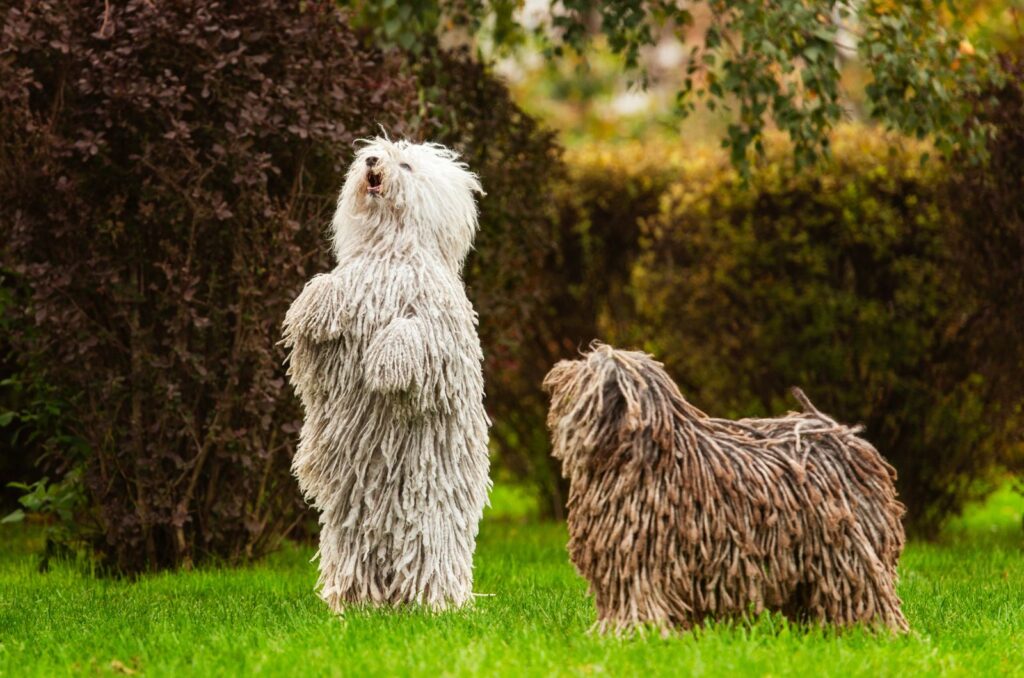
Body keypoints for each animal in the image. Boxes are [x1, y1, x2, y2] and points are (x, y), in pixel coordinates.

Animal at [280, 138, 487, 614]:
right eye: (372, 154)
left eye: (405, 164)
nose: (373, 162)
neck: (390, 253)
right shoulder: (333, 346)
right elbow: (324, 311)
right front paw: (315, 302)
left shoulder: (441, 329)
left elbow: (414, 334)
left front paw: (385, 362)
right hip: (351, 517)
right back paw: (355, 603)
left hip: (430, 514)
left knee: (429, 556)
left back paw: (431, 603)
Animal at [540, 346, 909, 639]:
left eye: (593, 371)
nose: (561, 371)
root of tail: (844, 438)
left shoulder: (642, 556)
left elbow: (639, 596)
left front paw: (635, 636)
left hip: (849, 553)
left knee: (868, 592)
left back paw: (873, 634)